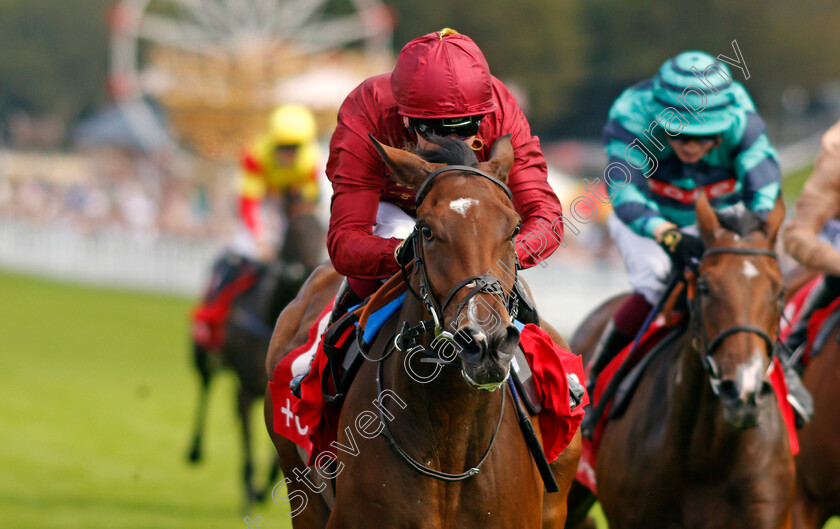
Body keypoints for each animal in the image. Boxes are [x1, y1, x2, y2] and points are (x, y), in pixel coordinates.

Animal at [188, 209, 324, 504]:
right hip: (202, 352)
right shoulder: (248, 386)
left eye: (321, 228)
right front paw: (250, 487)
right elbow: (248, 439)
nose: (312, 265)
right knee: (205, 386)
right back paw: (194, 450)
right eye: (297, 231)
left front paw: (262, 488)